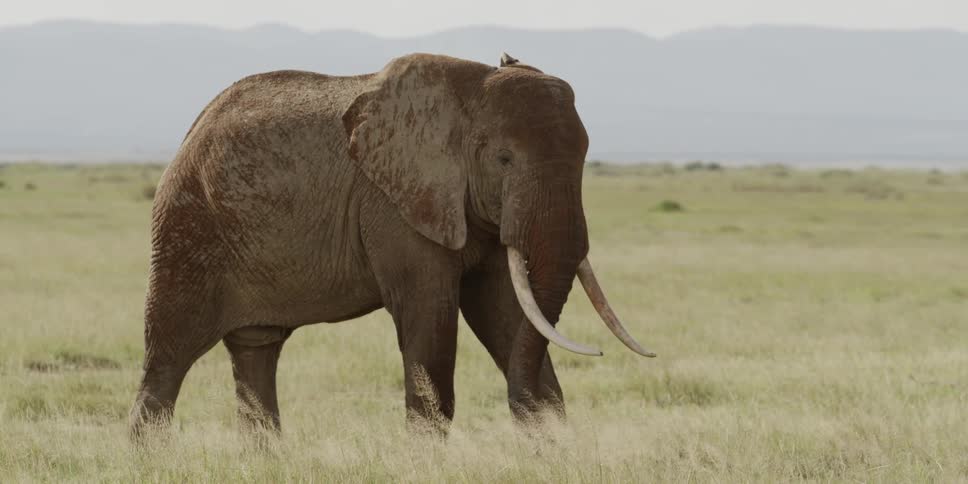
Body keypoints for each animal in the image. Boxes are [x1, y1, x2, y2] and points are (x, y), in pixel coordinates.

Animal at [129, 51, 655, 438]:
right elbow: (431, 317)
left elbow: (506, 312)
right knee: (168, 357)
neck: (469, 90)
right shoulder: (392, 204)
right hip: (187, 230)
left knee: (256, 350)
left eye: (584, 155)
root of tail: (193, 130)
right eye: (504, 158)